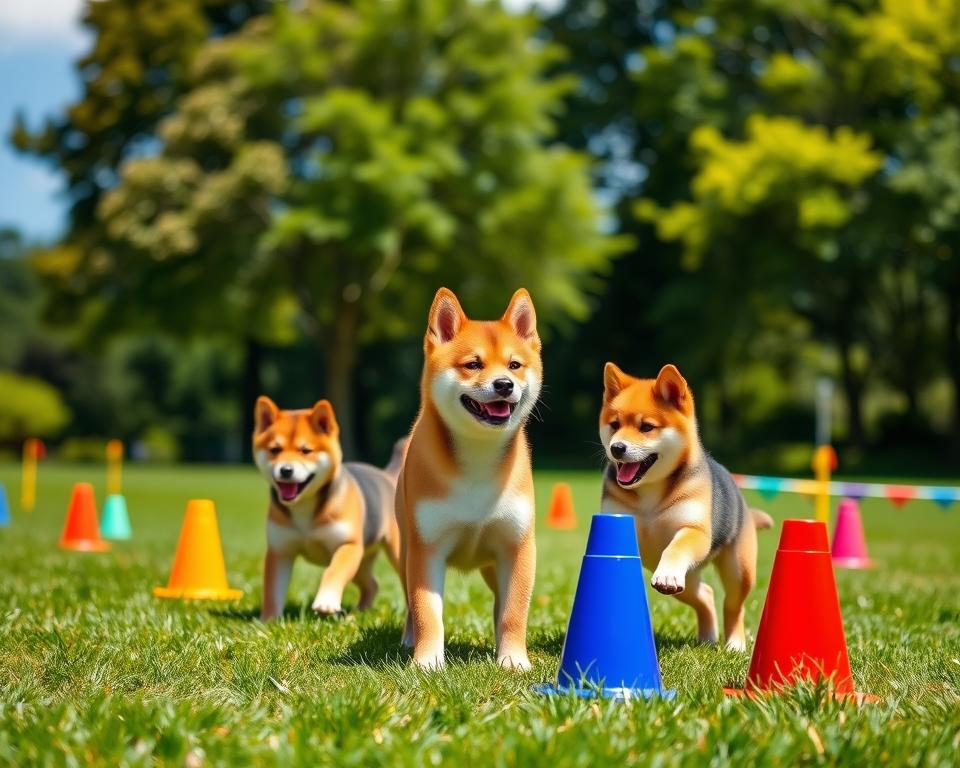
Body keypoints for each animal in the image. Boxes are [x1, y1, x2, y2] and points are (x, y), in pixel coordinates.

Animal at [251, 400, 402, 620]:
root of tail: (387, 476)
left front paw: (326, 601)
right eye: (274, 450)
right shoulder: (280, 551)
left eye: (305, 450)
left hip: (392, 552)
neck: (304, 506)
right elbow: (272, 590)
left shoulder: (348, 545)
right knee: (372, 585)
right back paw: (358, 613)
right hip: (362, 562)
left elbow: (333, 571)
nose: (286, 470)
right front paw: (268, 621)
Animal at [398, 284, 544, 668]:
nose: (504, 384)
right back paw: (408, 639)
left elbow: (513, 612)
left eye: (514, 365)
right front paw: (427, 662)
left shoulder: (517, 546)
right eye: (473, 364)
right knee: (409, 603)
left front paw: (513, 660)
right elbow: (426, 611)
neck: (478, 459)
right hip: (405, 550)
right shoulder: (427, 549)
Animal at [600, 364, 772, 648]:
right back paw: (707, 637)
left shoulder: (694, 529)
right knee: (706, 595)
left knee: (733, 605)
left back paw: (734, 644)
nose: (617, 448)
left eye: (646, 427)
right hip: (687, 581)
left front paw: (668, 571)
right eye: (614, 425)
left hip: (739, 569)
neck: (650, 493)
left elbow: (676, 547)